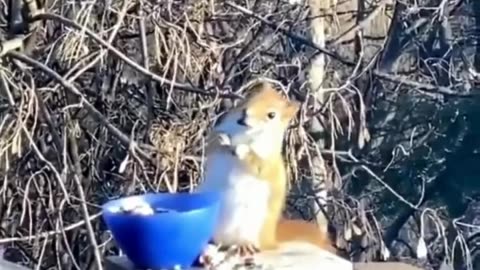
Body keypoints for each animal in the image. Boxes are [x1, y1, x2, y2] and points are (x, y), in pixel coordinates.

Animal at [193, 81, 336, 264]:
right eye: (249, 98)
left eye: (271, 115)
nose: (245, 114)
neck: (244, 133)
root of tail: (271, 240)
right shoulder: (216, 136)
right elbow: (212, 144)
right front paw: (222, 139)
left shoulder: (268, 160)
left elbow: (258, 165)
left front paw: (241, 149)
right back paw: (206, 250)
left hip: (252, 225)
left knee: (248, 244)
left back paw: (244, 247)